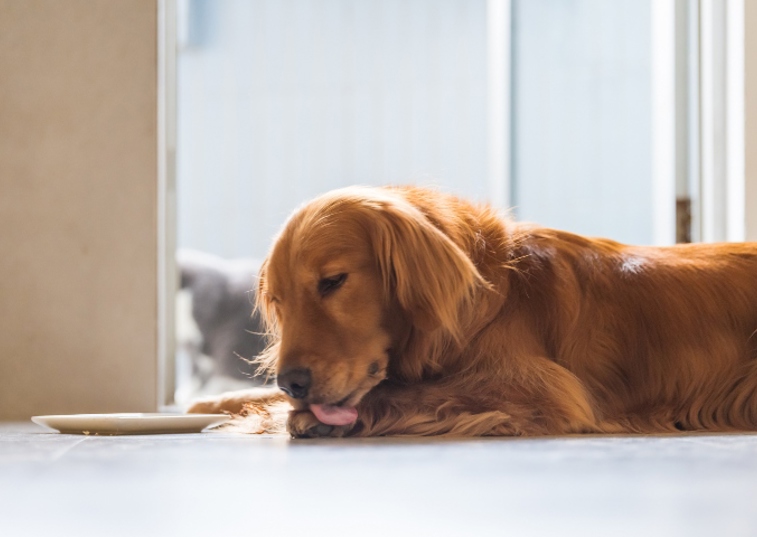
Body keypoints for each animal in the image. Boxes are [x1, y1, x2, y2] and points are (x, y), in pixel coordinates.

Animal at [188, 184, 756, 436]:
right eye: (279, 301)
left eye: (332, 282)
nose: (293, 382)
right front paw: (215, 403)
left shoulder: (543, 387)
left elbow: (413, 391)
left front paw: (292, 416)